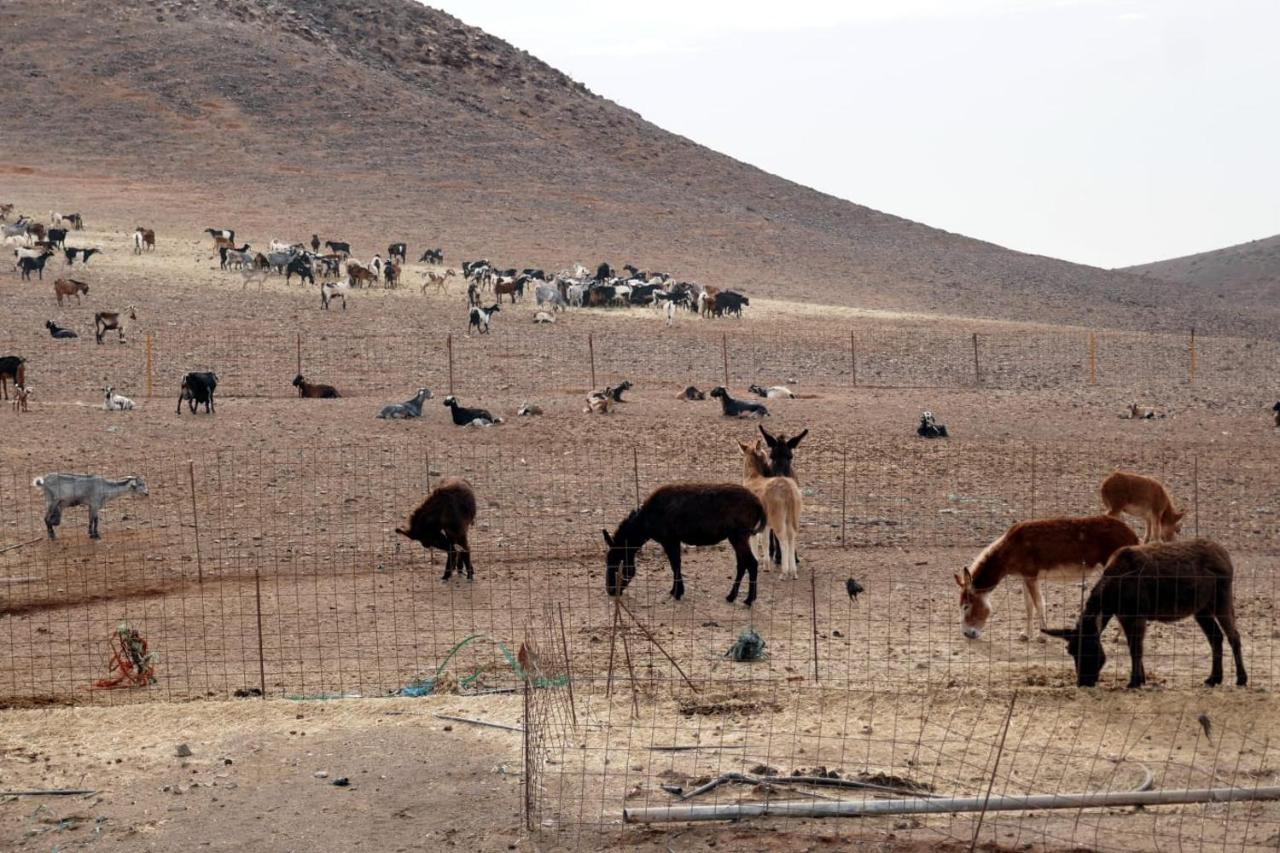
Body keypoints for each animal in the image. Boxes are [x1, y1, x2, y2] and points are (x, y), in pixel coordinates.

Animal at [604, 484, 762, 604]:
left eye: (615, 563)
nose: (610, 590)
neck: (645, 525)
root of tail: (758, 505)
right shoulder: (674, 540)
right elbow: (676, 564)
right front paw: (675, 590)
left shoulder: (669, 539)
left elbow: (675, 565)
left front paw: (677, 592)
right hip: (737, 537)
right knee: (743, 563)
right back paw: (735, 596)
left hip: (738, 535)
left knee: (751, 562)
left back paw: (747, 599)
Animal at [742, 438, 798, 578]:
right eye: (766, 455)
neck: (753, 477)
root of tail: (788, 490)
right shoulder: (765, 524)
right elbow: (765, 541)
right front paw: (766, 566)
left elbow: (754, 541)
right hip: (792, 517)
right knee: (792, 537)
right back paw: (793, 572)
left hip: (778, 519)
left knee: (784, 540)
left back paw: (784, 572)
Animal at [952, 512, 1141, 637]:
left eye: (966, 606)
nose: (967, 634)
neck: (1011, 548)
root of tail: (1132, 534)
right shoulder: (1025, 577)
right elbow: (1028, 606)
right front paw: (1026, 634)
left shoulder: (1031, 575)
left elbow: (1039, 604)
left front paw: (1043, 635)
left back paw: (1119, 637)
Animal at [1044, 540, 1244, 686]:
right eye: (1071, 651)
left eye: (1090, 648)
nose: (1083, 682)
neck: (1112, 597)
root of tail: (1227, 557)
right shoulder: (1124, 616)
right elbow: (1133, 646)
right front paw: (1141, 678)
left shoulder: (1138, 615)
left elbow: (1136, 648)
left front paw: (1134, 682)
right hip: (1201, 608)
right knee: (1216, 637)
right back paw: (1214, 678)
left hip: (1221, 598)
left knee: (1234, 635)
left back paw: (1241, 678)